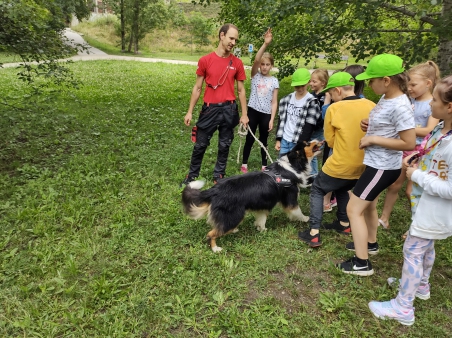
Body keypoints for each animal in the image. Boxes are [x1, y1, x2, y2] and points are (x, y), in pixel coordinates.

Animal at [180, 139, 322, 252]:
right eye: (308, 143)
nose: (320, 140)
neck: (293, 165)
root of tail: (214, 189)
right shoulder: (290, 198)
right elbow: (297, 211)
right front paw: (305, 218)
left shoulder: (264, 203)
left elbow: (262, 218)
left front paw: (262, 229)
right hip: (234, 215)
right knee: (211, 234)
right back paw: (216, 248)